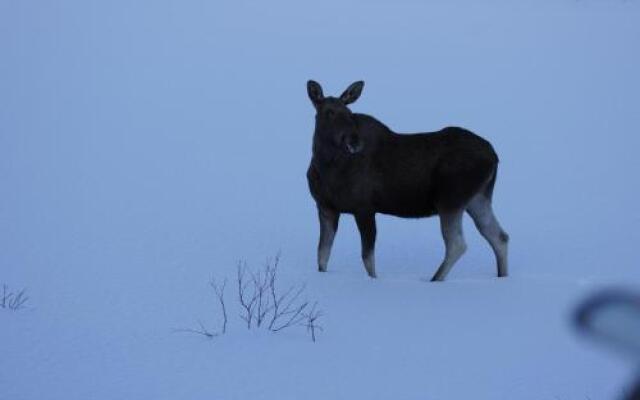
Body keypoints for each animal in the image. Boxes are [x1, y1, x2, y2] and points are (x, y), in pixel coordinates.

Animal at [304, 79, 510, 282]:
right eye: (329, 112)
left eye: (349, 114)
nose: (355, 141)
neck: (325, 166)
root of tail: (494, 156)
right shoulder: (325, 207)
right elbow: (322, 255)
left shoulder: (364, 208)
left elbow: (367, 259)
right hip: (477, 198)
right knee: (499, 236)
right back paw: (502, 277)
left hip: (450, 200)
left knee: (457, 244)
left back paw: (435, 279)